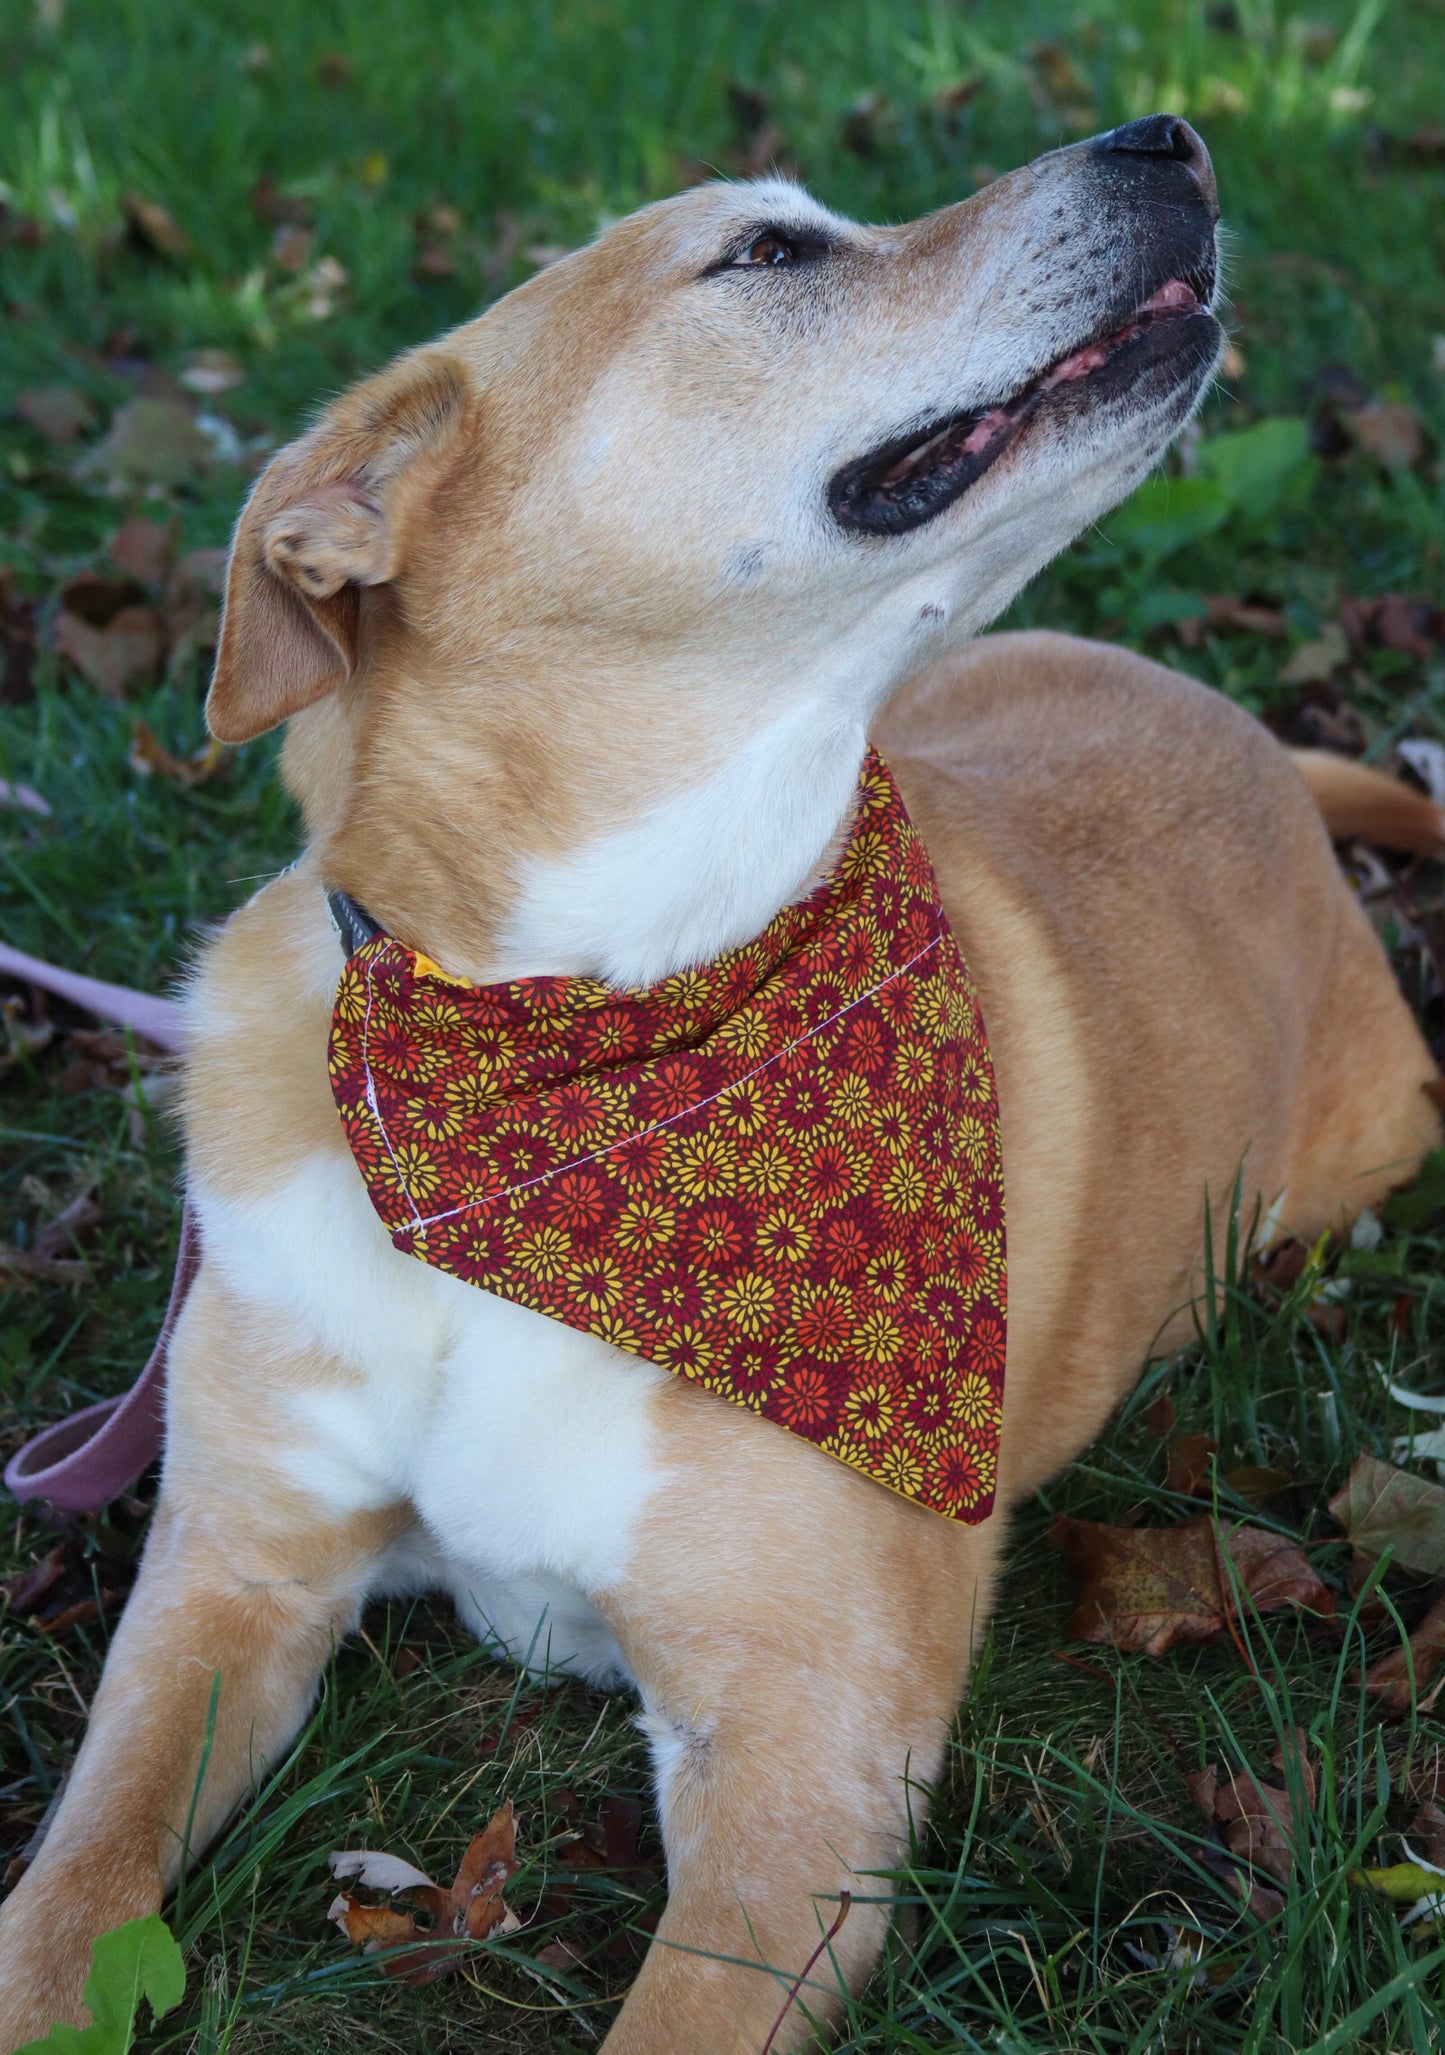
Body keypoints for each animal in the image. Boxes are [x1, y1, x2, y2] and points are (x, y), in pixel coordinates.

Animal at [2, 116, 1445, 2055]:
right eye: (767, 253)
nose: (1171, 134)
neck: (568, 1052)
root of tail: (1249, 736)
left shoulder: (801, 1758)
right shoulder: (230, 1578)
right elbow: (65, 1902)